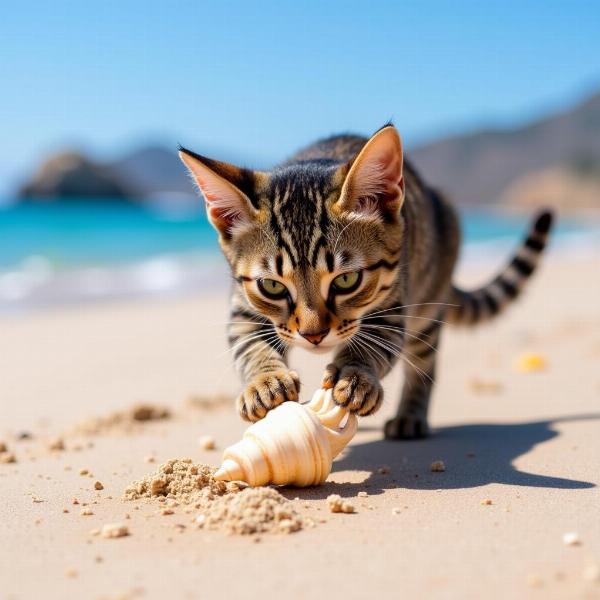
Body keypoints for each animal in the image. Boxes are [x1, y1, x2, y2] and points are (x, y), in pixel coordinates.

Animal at [179, 124, 552, 438]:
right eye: (272, 286)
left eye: (346, 280)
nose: (313, 335)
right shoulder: (242, 308)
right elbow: (250, 345)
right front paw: (265, 382)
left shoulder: (393, 306)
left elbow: (373, 344)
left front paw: (356, 376)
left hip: (427, 308)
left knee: (424, 366)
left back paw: (410, 417)